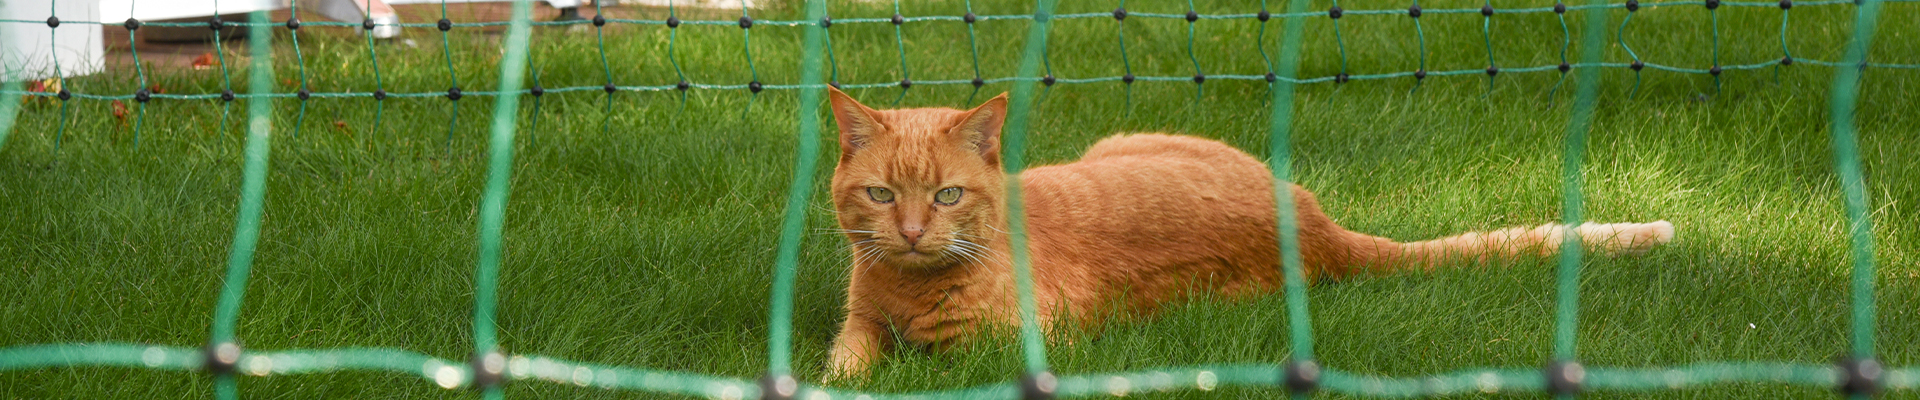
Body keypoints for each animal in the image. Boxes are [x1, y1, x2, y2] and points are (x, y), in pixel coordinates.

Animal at [817, 86, 1674, 376]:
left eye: (949, 196)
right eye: (883, 194)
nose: (913, 231)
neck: (906, 288)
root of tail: (1318, 226)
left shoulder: (1007, 351)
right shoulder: (859, 323)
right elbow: (846, 363)